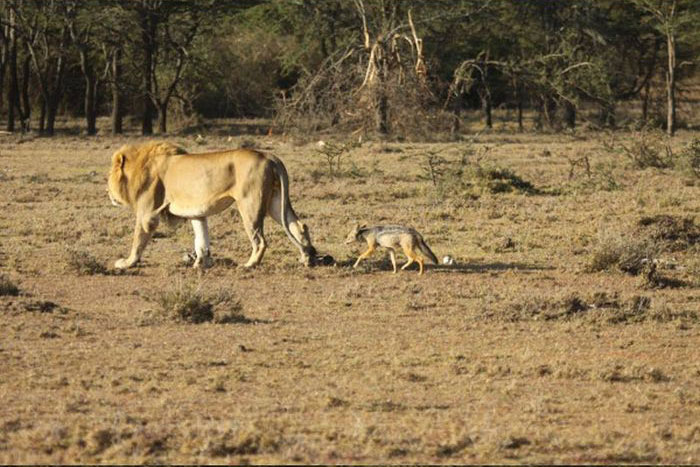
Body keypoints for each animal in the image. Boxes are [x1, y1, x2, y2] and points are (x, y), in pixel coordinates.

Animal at [106, 141, 318, 268]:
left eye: (109, 176)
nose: (107, 193)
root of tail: (269, 156)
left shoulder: (147, 214)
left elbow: (138, 240)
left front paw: (127, 262)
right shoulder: (197, 213)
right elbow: (201, 240)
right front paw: (200, 263)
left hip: (249, 204)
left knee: (260, 240)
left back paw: (249, 264)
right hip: (275, 201)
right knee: (299, 226)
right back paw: (306, 257)